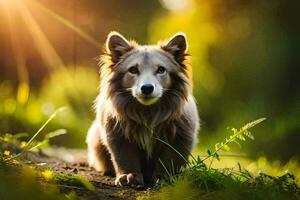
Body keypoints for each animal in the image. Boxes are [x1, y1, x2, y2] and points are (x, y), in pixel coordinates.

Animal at [86, 30, 199, 187]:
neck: (147, 113)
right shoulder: (118, 136)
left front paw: (164, 177)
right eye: (133, 70)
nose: (146, 88)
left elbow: (170, 159)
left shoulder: (180, 137)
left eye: (161, 69)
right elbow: (125, 158)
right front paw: (129, 175)